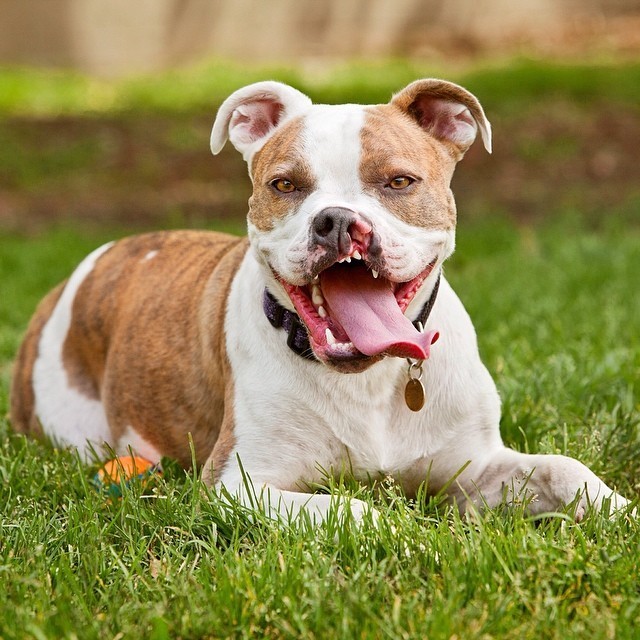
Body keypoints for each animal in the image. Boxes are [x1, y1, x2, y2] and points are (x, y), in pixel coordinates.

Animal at [10, 77, 632, 524]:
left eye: (399, 182)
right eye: (285, 185)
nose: (336, 220)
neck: (368, 376)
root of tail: (99, 258)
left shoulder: (475, 467)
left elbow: (565, 471)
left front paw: (621, 514)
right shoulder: (239, 484)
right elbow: (350, 510)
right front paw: (403, 531)